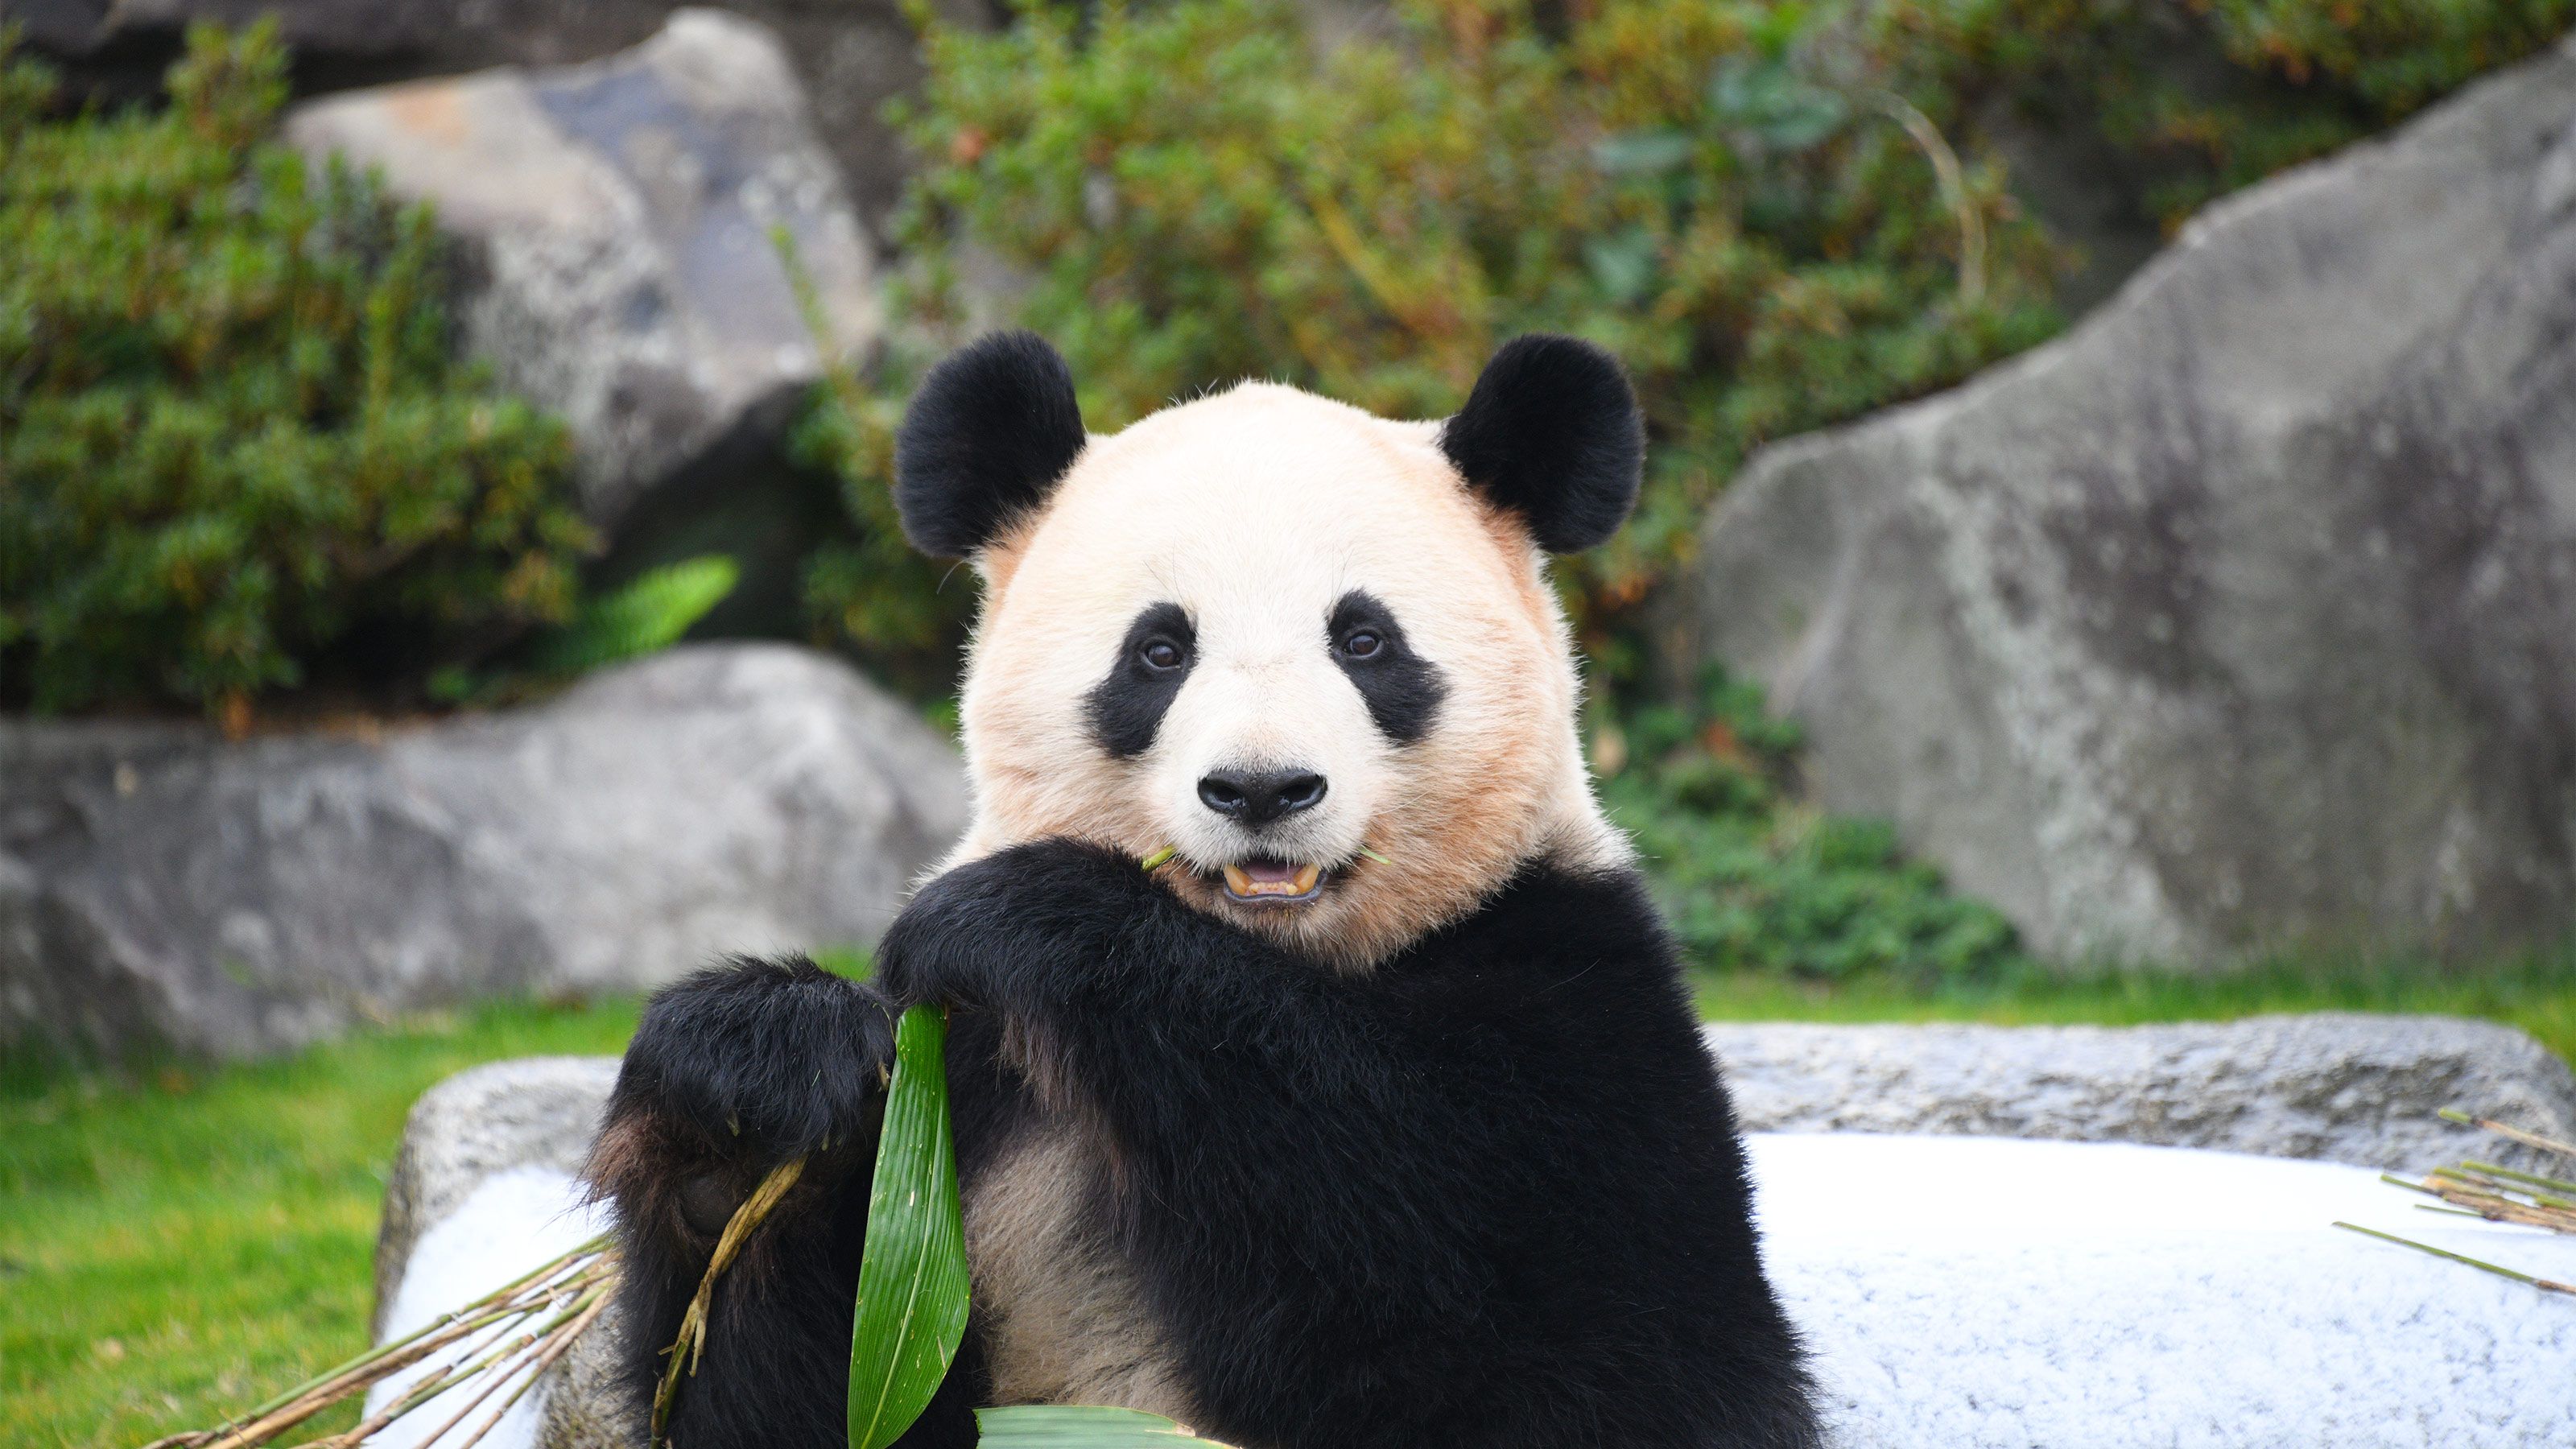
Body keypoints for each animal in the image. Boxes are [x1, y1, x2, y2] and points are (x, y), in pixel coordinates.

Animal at [592, 329, 1823, 1443]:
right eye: (1159, 651)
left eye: (1365, 642)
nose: (1263, 788)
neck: (1275, 959)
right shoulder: (963, 1096)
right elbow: (809, 1400)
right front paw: (754, 1080)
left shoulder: (1573, 986)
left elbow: (1599, 1355)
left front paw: (1030, 918)